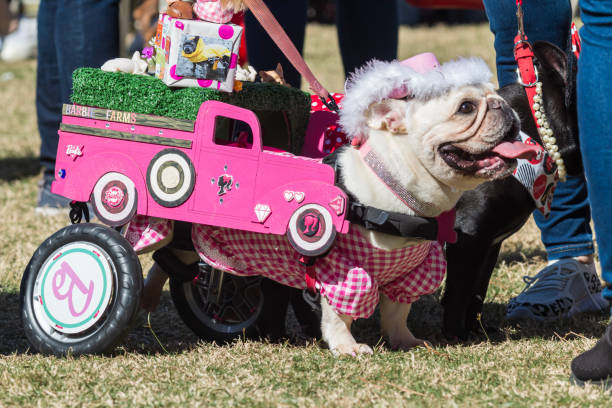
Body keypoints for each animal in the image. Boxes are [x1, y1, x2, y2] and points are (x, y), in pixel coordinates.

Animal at [442, 41, 580, 340]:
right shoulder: (467, 238)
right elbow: (458, 292)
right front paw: (455, 336)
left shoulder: (489, 245)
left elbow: (476, 290)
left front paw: (477, 331)